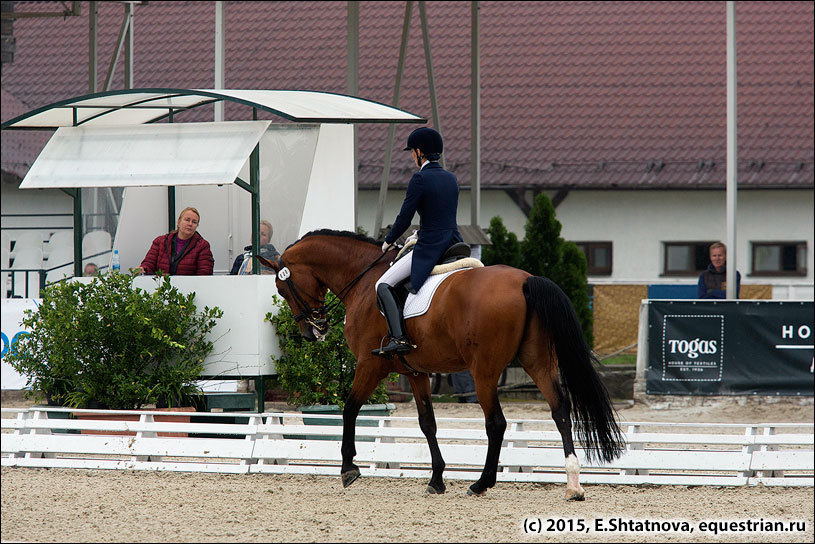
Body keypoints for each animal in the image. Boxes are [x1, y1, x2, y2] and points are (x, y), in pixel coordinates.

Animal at [262, 227, 624, 500]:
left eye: (281, 288)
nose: (312, 331)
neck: (364, 280)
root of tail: (525, 280)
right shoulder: (416, 371)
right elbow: (428, 423)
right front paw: (436, 479)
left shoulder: (370, 364)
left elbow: (350, 408)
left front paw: (348, 468)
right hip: (537, 361)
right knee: (560, 410)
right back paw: (573, 484)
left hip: (484, 371)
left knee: (496, 423)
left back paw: (482, 483)